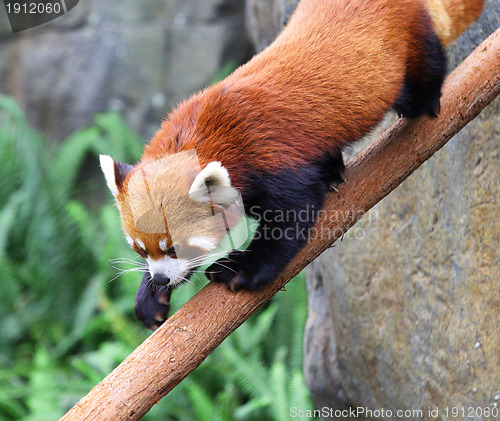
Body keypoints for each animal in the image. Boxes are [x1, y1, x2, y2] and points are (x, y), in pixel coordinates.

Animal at [98, 0, 484, 326]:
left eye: (178, 246)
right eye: (140, 249)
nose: (160, 277)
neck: (205, 129)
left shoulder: (272, 159)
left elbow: (291, 219)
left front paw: (241, 269)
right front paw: (151, 296)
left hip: (408, 42)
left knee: (426, 65)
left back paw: (427, 101)